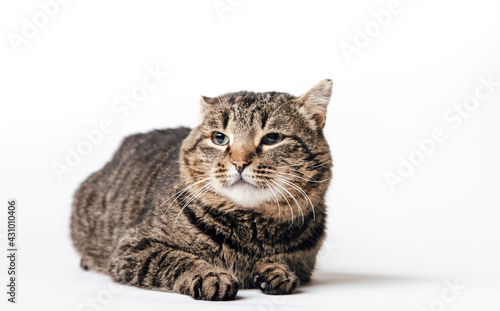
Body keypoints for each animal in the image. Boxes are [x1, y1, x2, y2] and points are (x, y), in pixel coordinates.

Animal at [70, 79, 334, 302]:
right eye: (219, 138)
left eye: (272, 138)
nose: (240, 162)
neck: (251, 230)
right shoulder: (133, 246)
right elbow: (175, 258)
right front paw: (211, 275)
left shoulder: (305, 260)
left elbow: (287, 264)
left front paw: (278, 271)